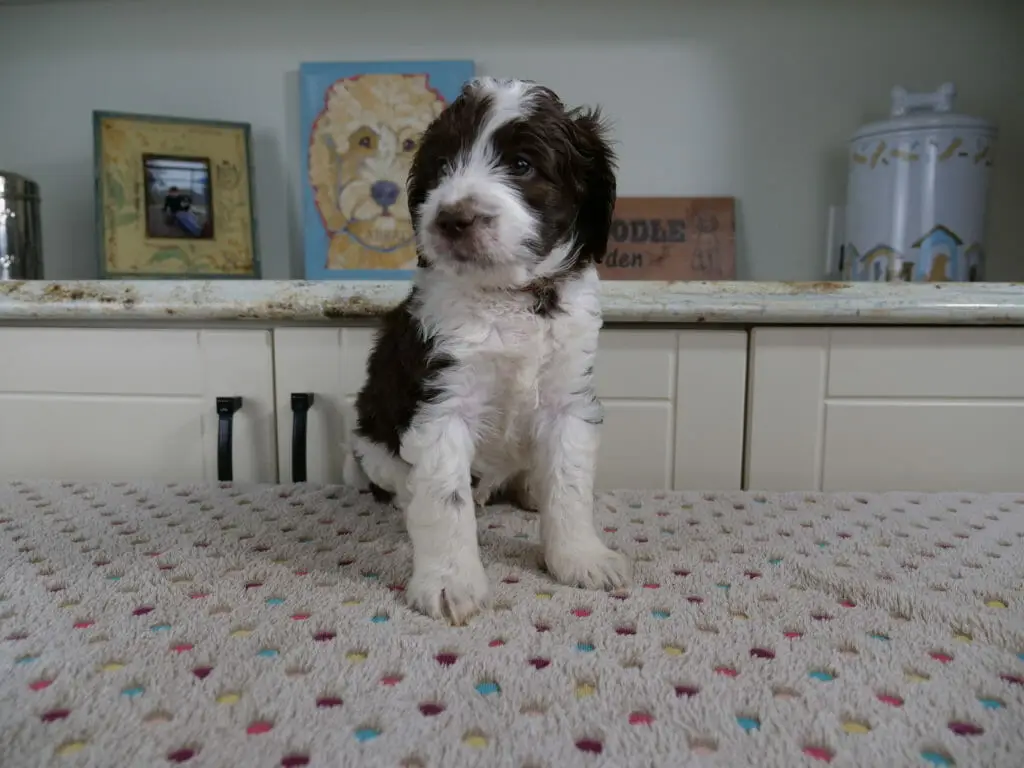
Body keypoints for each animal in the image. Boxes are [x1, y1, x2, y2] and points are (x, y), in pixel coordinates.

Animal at [344, 76, 626, 626]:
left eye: (522, 164)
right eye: (439, 167)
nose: (453, 219)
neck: (510, 297)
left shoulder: (568, 399)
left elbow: (570, 483)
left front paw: (579, 557)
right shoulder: (441, 402)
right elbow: (445, 500)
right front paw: (449, 583)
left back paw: (530, 490)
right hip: (371, 442)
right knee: (409, 486)